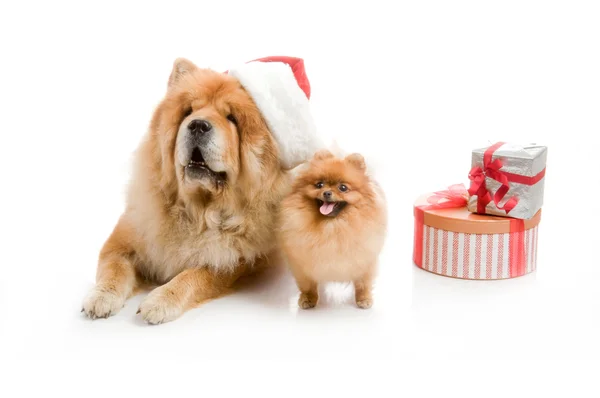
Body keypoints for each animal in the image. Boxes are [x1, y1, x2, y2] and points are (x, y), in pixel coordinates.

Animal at [82, 59, 290, 326]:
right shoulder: (122, 240)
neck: (196, 210)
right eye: (188, 111)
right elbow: (114, 268)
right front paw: (100, 298)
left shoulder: (232, 260)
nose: (198, 125)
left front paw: (159, 301)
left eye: (232, 118)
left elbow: (194, 277)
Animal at [278, 149, 386, 308]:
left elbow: (363, 283)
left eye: (343, 188)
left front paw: (364, 299)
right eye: (319, 185)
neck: (331, 227)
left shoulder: (365, 259)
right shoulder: (301, 263)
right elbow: (307, 285)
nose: (327, 192)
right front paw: (308, 298)